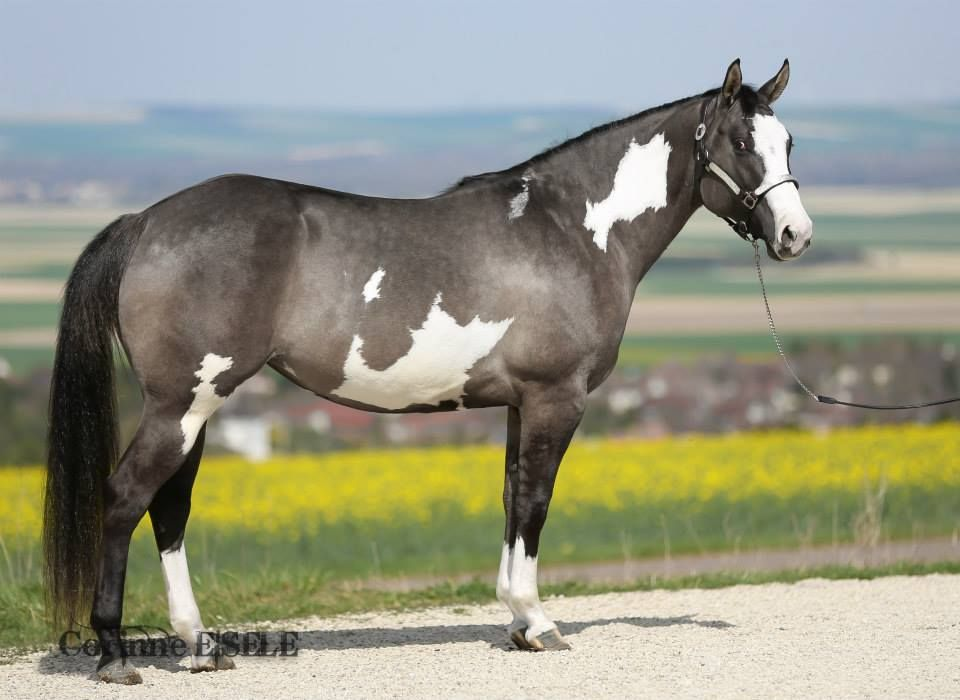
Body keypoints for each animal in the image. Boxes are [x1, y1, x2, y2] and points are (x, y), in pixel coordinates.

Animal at [43, 58, 812, 683]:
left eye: (788, 143)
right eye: (741, 143)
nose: (795, 236)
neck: (573, 230)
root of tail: (147, 221)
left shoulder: (518, 403)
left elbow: (511, 499)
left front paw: (516, 622)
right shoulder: (555, 399)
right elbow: (537, 502)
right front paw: (540, 622)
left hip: (194, 405)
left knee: (169, 508)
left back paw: (201, 646)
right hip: (181, 402)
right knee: (126, 498)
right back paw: (113, 655)